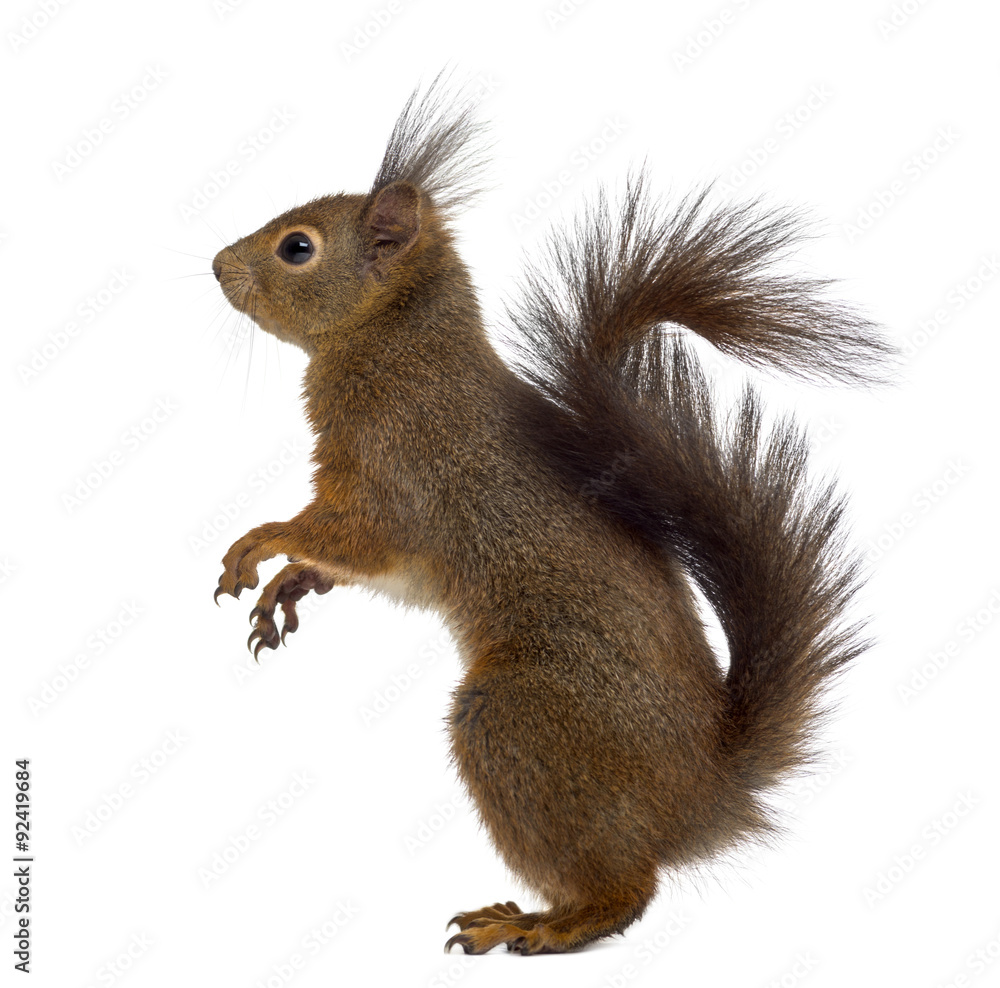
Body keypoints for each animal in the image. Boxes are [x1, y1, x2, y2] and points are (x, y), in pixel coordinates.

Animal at [210, 78, 892, 955]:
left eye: (298, 248)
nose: (217, 264)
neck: (397, 344)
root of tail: (704, 794)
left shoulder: (399, 472)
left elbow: (355, 538)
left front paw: (260, 545)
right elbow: (351, 563)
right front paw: (289, 585)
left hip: (516, 722)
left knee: (626, 892)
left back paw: (533, 925)